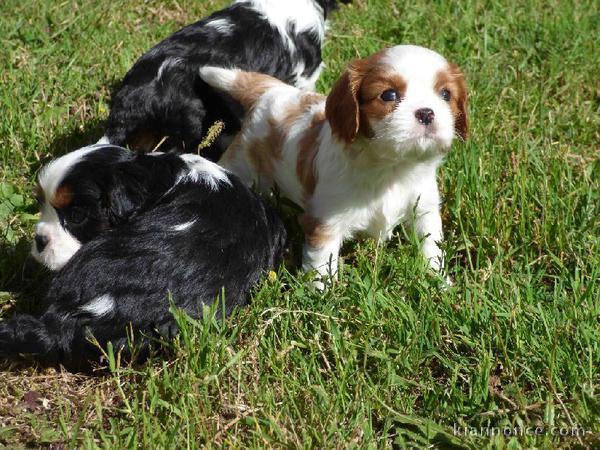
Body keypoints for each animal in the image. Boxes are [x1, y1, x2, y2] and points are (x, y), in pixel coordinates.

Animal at [199, 44, 466, 282]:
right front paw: (321, 296)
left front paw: (439, 280)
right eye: (389, 95)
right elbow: (322, 264)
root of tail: (270, 90)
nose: (427, 112)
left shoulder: (424, 207)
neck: (392, 166)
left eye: (446, 95)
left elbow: (431, 245)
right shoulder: (326, 221)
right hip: (241, 164)